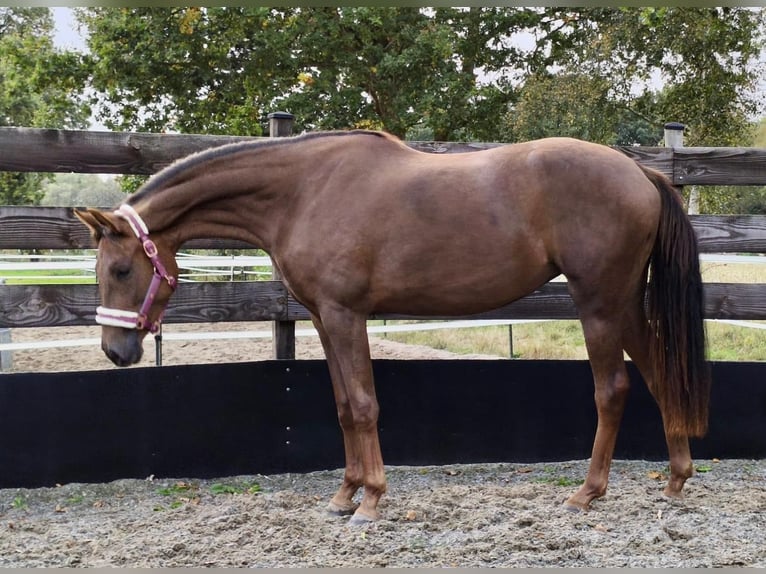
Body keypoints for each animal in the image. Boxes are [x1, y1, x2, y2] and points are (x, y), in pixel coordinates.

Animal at [75, 129, 710, 524]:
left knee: (613, 389)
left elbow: (363, 405)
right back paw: (676, 478)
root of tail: (639, 171)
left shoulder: (345, 314)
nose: (116, 351)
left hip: (598, 303)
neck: (303, 191)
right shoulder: (323, 318)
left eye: (122, 268)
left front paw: (372, 501)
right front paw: (344, 494)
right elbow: (341, 405)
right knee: (660, 375)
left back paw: (587, 492)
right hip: (623, 305)